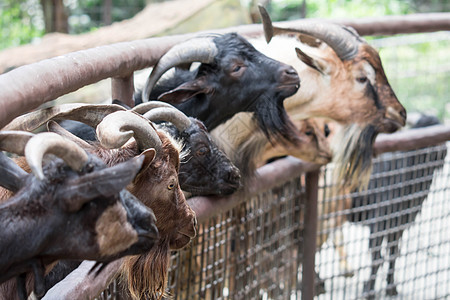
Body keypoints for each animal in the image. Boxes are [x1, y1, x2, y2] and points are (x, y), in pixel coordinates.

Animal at [348, 115, 446, 298]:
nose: (440, 149)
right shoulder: (379, 223)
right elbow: (377, 257)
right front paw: (368, 291)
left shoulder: (399, 224)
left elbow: (393, 254)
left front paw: (392, 288)